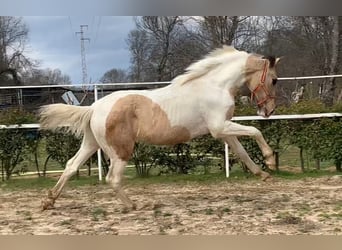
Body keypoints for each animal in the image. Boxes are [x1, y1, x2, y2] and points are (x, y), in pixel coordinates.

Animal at [39, 46, 280, 210]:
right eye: (274, 79)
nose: (269, 110)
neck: (214, 86)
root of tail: (94, 108)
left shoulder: (224, 132)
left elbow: (242, 152)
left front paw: (264, 175)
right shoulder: (220, 127)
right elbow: (256, 131)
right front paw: (270, 161)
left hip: (92, 143)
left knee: (71, 166)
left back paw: (49, 201)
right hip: (120, 150)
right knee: (112, 178)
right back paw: (134, 205)